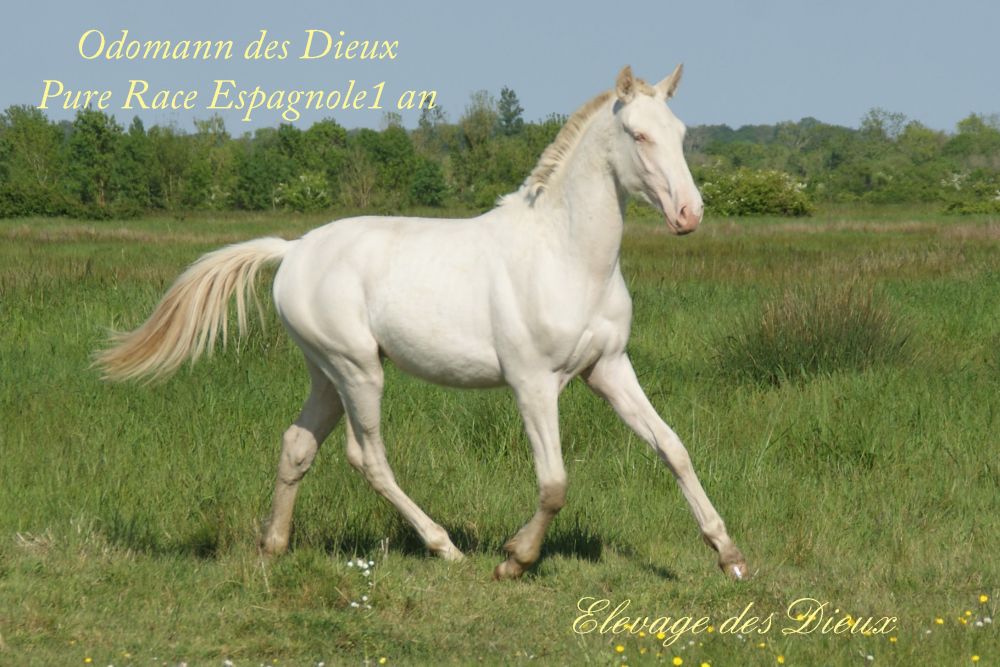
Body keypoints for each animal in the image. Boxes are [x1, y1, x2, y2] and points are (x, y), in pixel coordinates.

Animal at [96, 65, 748, 581]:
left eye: (681, 134)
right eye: (638, 134)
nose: (689, 214)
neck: (564, 256)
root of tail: (294, 249)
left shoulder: (608, 369)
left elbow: (673, 449)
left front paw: (730, 556)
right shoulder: (534, 384)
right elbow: (555, 482)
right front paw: (513, 559)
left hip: (326, 374)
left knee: (297, 445)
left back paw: (272, 546)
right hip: (358, 370)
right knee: (367, 458)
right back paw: (445, 547)